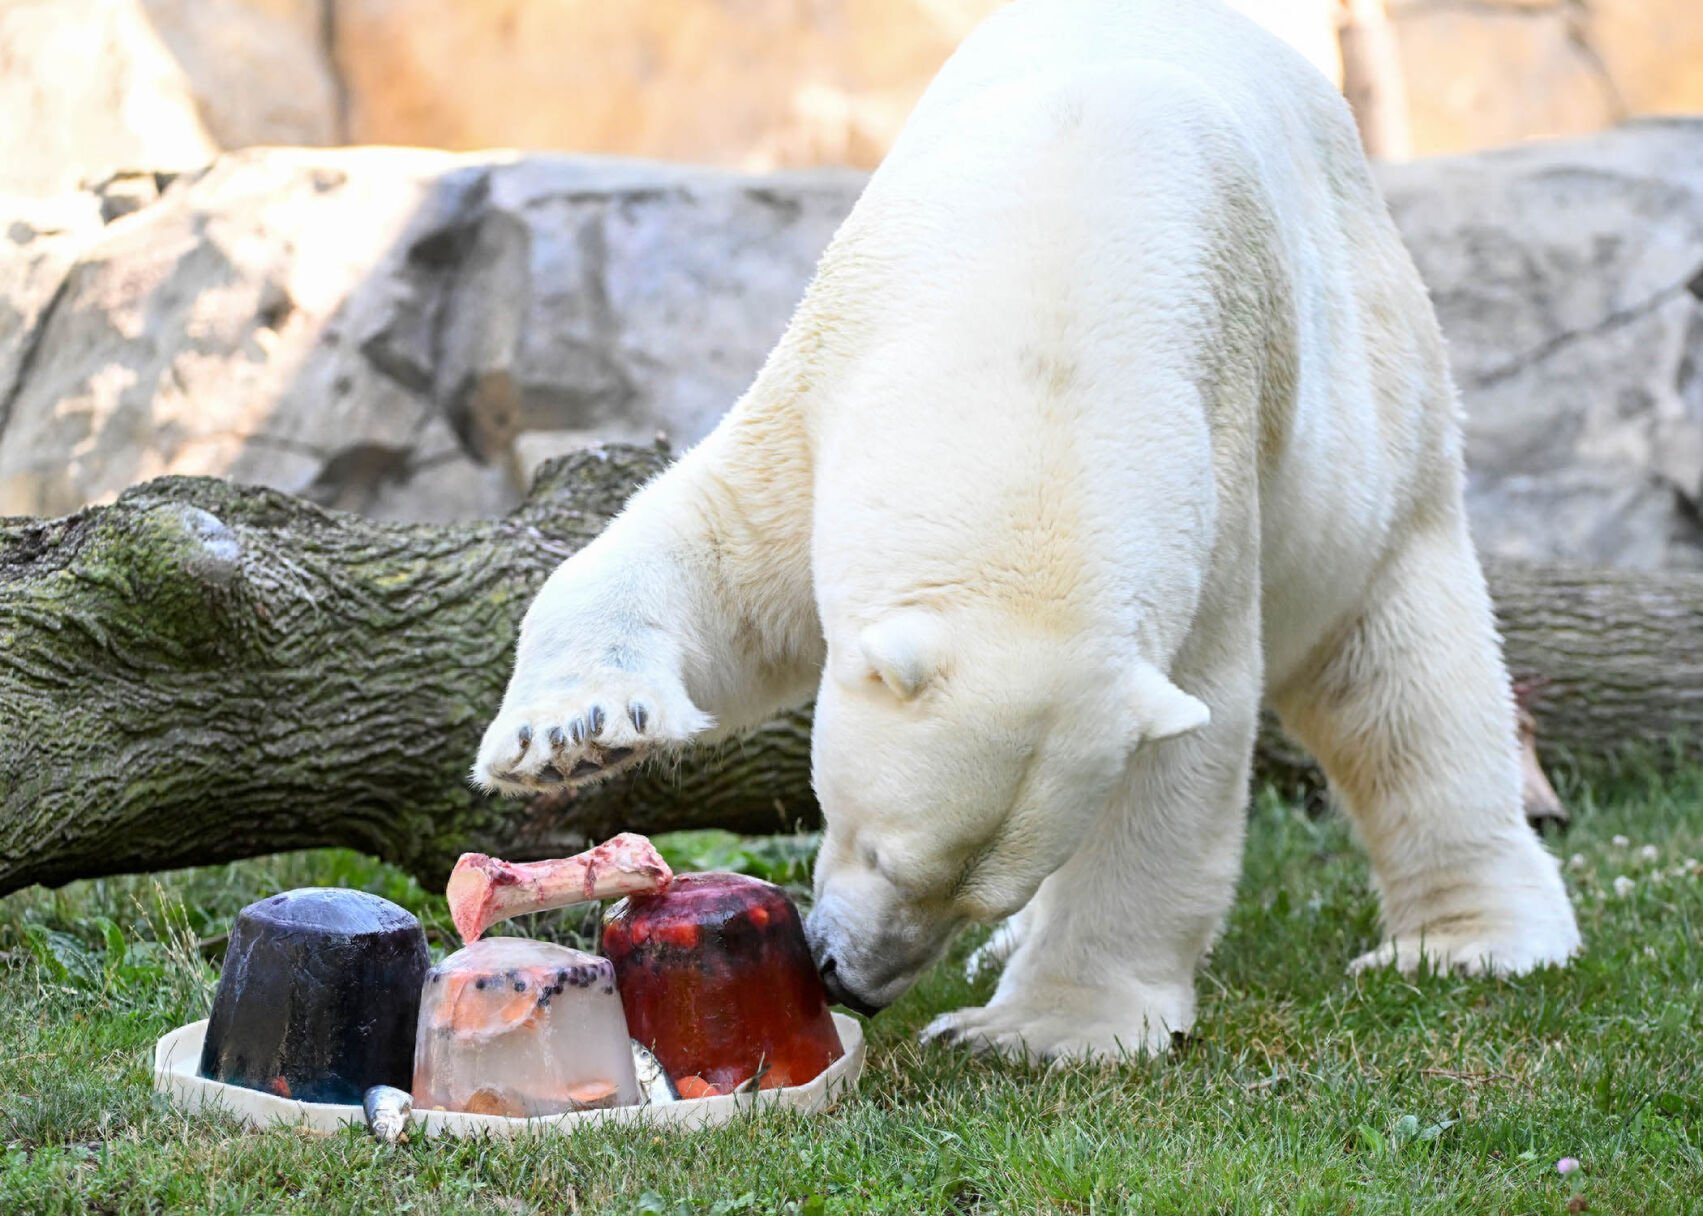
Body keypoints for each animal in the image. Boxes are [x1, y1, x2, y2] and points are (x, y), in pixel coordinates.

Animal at [470, 0, 1580, 1049]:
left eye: (967, 888)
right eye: (874, 844)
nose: (853, 983)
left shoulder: (1216, 494)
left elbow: (1188, 747)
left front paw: (1043, 1029)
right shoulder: (840, 363)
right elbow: (721, 559)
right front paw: (572, 735)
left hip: (1381, 413)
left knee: (1401, 683)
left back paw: (1470, 940)